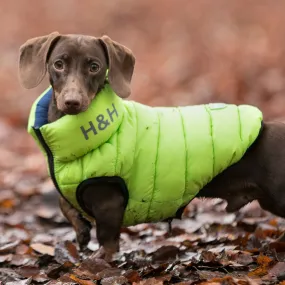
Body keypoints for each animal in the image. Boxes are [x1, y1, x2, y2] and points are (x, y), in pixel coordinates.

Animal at [18, 32, 285, 260]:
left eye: (94, 66)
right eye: (58, 64)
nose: (72, 101)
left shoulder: (109, 204)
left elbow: (107, 240)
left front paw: (98, 261)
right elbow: (65, 204)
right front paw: (80, 230)